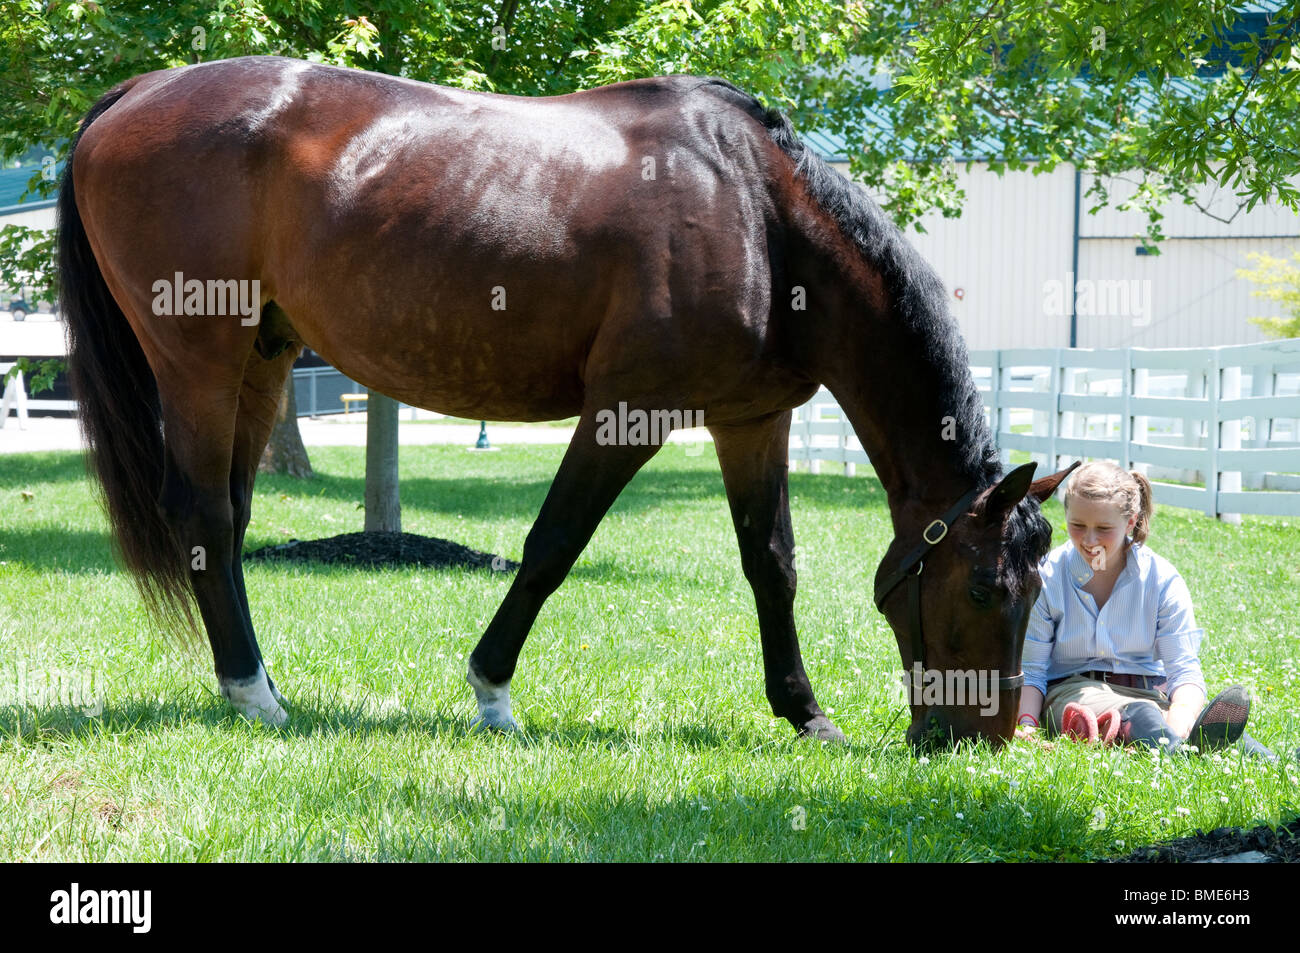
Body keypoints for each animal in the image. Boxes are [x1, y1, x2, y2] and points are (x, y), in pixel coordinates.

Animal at [58, 55, 1076, 748]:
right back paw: (255, 693)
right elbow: (554, 545)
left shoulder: (752, 420)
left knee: (227, 522)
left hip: (261, 359)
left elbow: (773, 564)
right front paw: (492, 691)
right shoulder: (629, 412)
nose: (980, 739)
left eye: (1039, 589)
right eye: (987, 586)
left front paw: (805, 712)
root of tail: (136, 93)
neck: (762, 215)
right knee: (202, 512)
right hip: (197, 357)